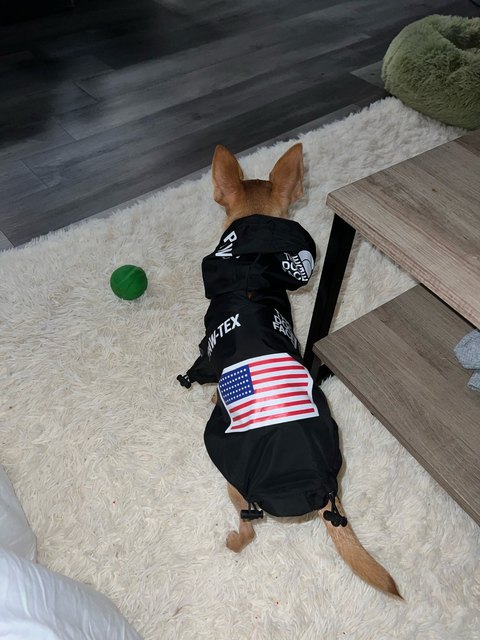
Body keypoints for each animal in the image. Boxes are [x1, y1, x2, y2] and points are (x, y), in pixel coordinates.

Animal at [178, 143, 401, 598]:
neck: (252, 267)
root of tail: (322, 489)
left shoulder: (208, 353)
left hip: (235, 484)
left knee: (248, 529)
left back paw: (232, 540)